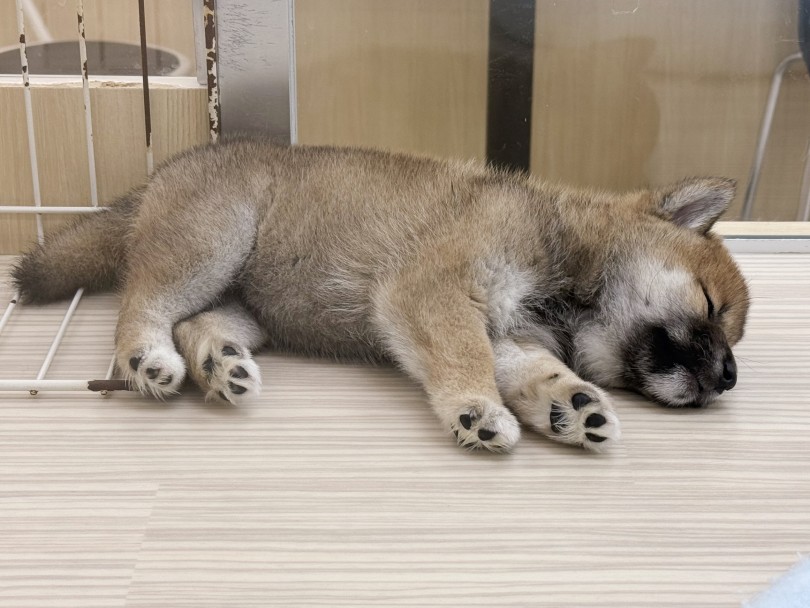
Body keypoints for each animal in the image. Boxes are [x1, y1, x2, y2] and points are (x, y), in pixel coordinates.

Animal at [9, 138, 748, 452]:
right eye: (711, 307)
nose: (730, 377)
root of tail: (149, 184)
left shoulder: (512, 334)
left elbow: (539, 373)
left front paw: (570, 406)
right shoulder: (434, 295)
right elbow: (463, 360)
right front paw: (477, 410)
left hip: (250, 303)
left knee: (196, 324)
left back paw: (220, 364)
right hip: (210, 243)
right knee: (143, 306)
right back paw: (147, 358)